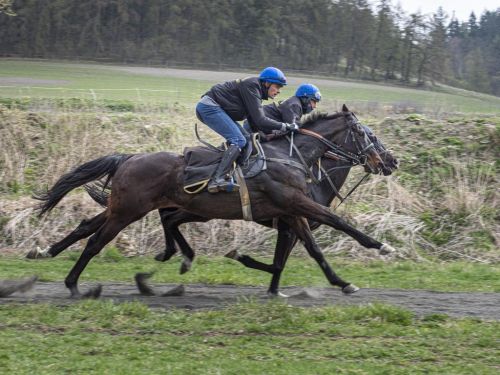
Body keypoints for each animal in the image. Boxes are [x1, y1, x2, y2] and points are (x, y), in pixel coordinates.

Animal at [33, 107, 386, 298]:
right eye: (366, 134)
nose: (389, 161)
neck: (294, 156)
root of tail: (129, 157)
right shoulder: (295, 205)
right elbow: (334, 226)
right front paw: (380, 247)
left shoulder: (292, 212)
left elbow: (305, 252)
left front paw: (338, 282)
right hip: (128, 211)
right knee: (95, 242)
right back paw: (74, 285)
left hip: (129, 207)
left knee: (89, 226)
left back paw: (47, 252)